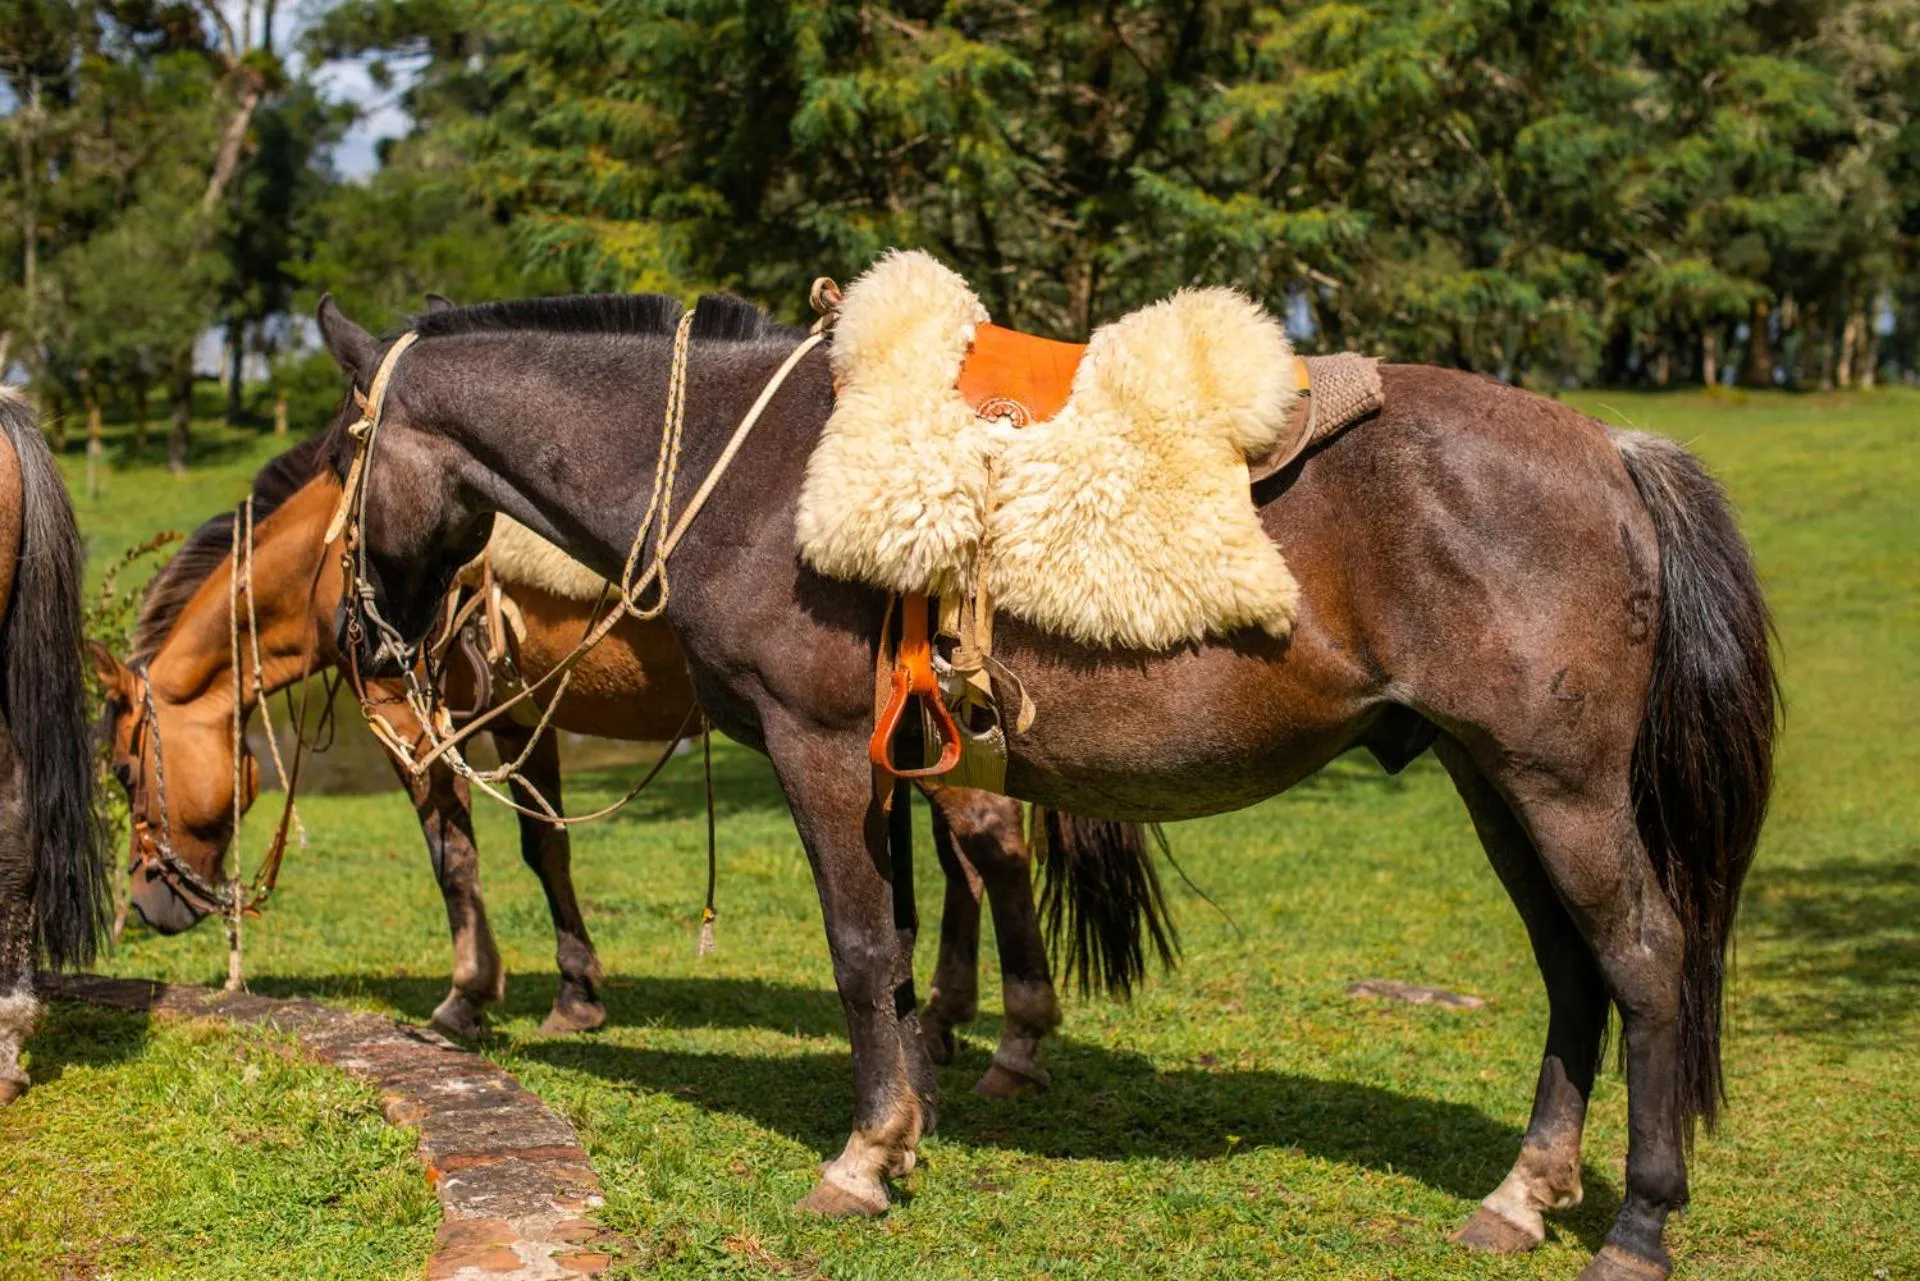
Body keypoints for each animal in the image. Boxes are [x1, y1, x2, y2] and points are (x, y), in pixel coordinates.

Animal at [90, 430, 1136, 1093]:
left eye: (126, 773)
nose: (147, 904)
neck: (330, 556)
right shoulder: (522, 719)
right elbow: (544, 849)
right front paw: (576, 990)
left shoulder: (414, 720)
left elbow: (455, 857)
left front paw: (466, 995)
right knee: (964, 865)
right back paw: (946, 1019)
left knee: (992, 845)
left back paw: (1014, 1042)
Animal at [314, 288, 1775, 1281]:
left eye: (338, 461)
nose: (360, 643)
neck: (752, 471)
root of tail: (1613, 451)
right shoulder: (893, 761)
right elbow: (906, 942)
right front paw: (913, 1113)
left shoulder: (817, 745)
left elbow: (861, 951)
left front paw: (866, 1157)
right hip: (1494, 779)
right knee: (1574, 972)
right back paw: (1523, 1194)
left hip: (1558, 785)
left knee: (1644, 962)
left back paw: (1637, 1220)